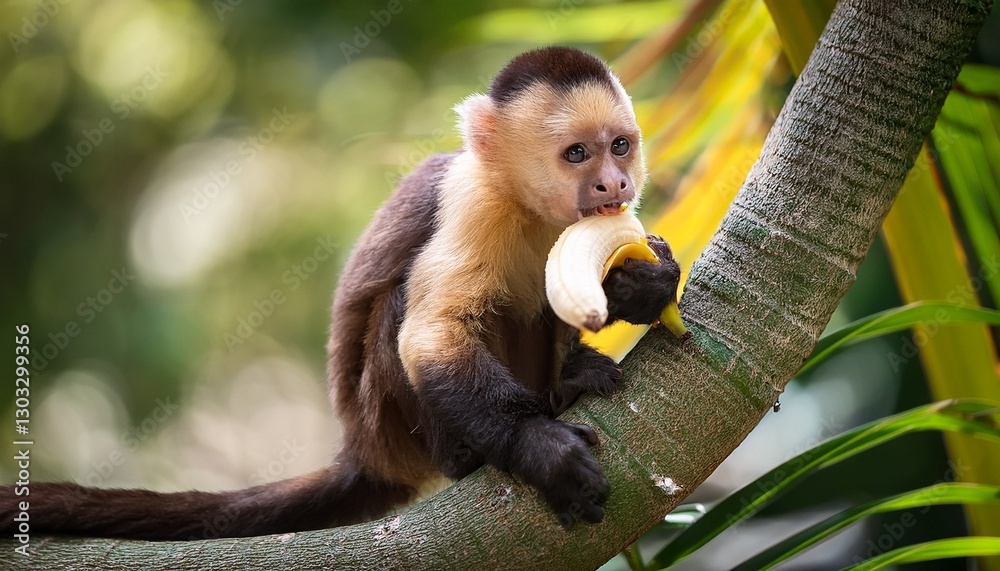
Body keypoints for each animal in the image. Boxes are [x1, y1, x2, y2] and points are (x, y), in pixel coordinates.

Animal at [0, 46, 682, 541]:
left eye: (620, 146)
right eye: (577, 154)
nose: (615, 183)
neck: (527, 207)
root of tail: (364, 452)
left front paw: (644, 286)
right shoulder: (471, 204)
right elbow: (431, 336)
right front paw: (538, 449)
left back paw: (567, 383)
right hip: (392, 428)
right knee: (405, 308)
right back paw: (468, 451)